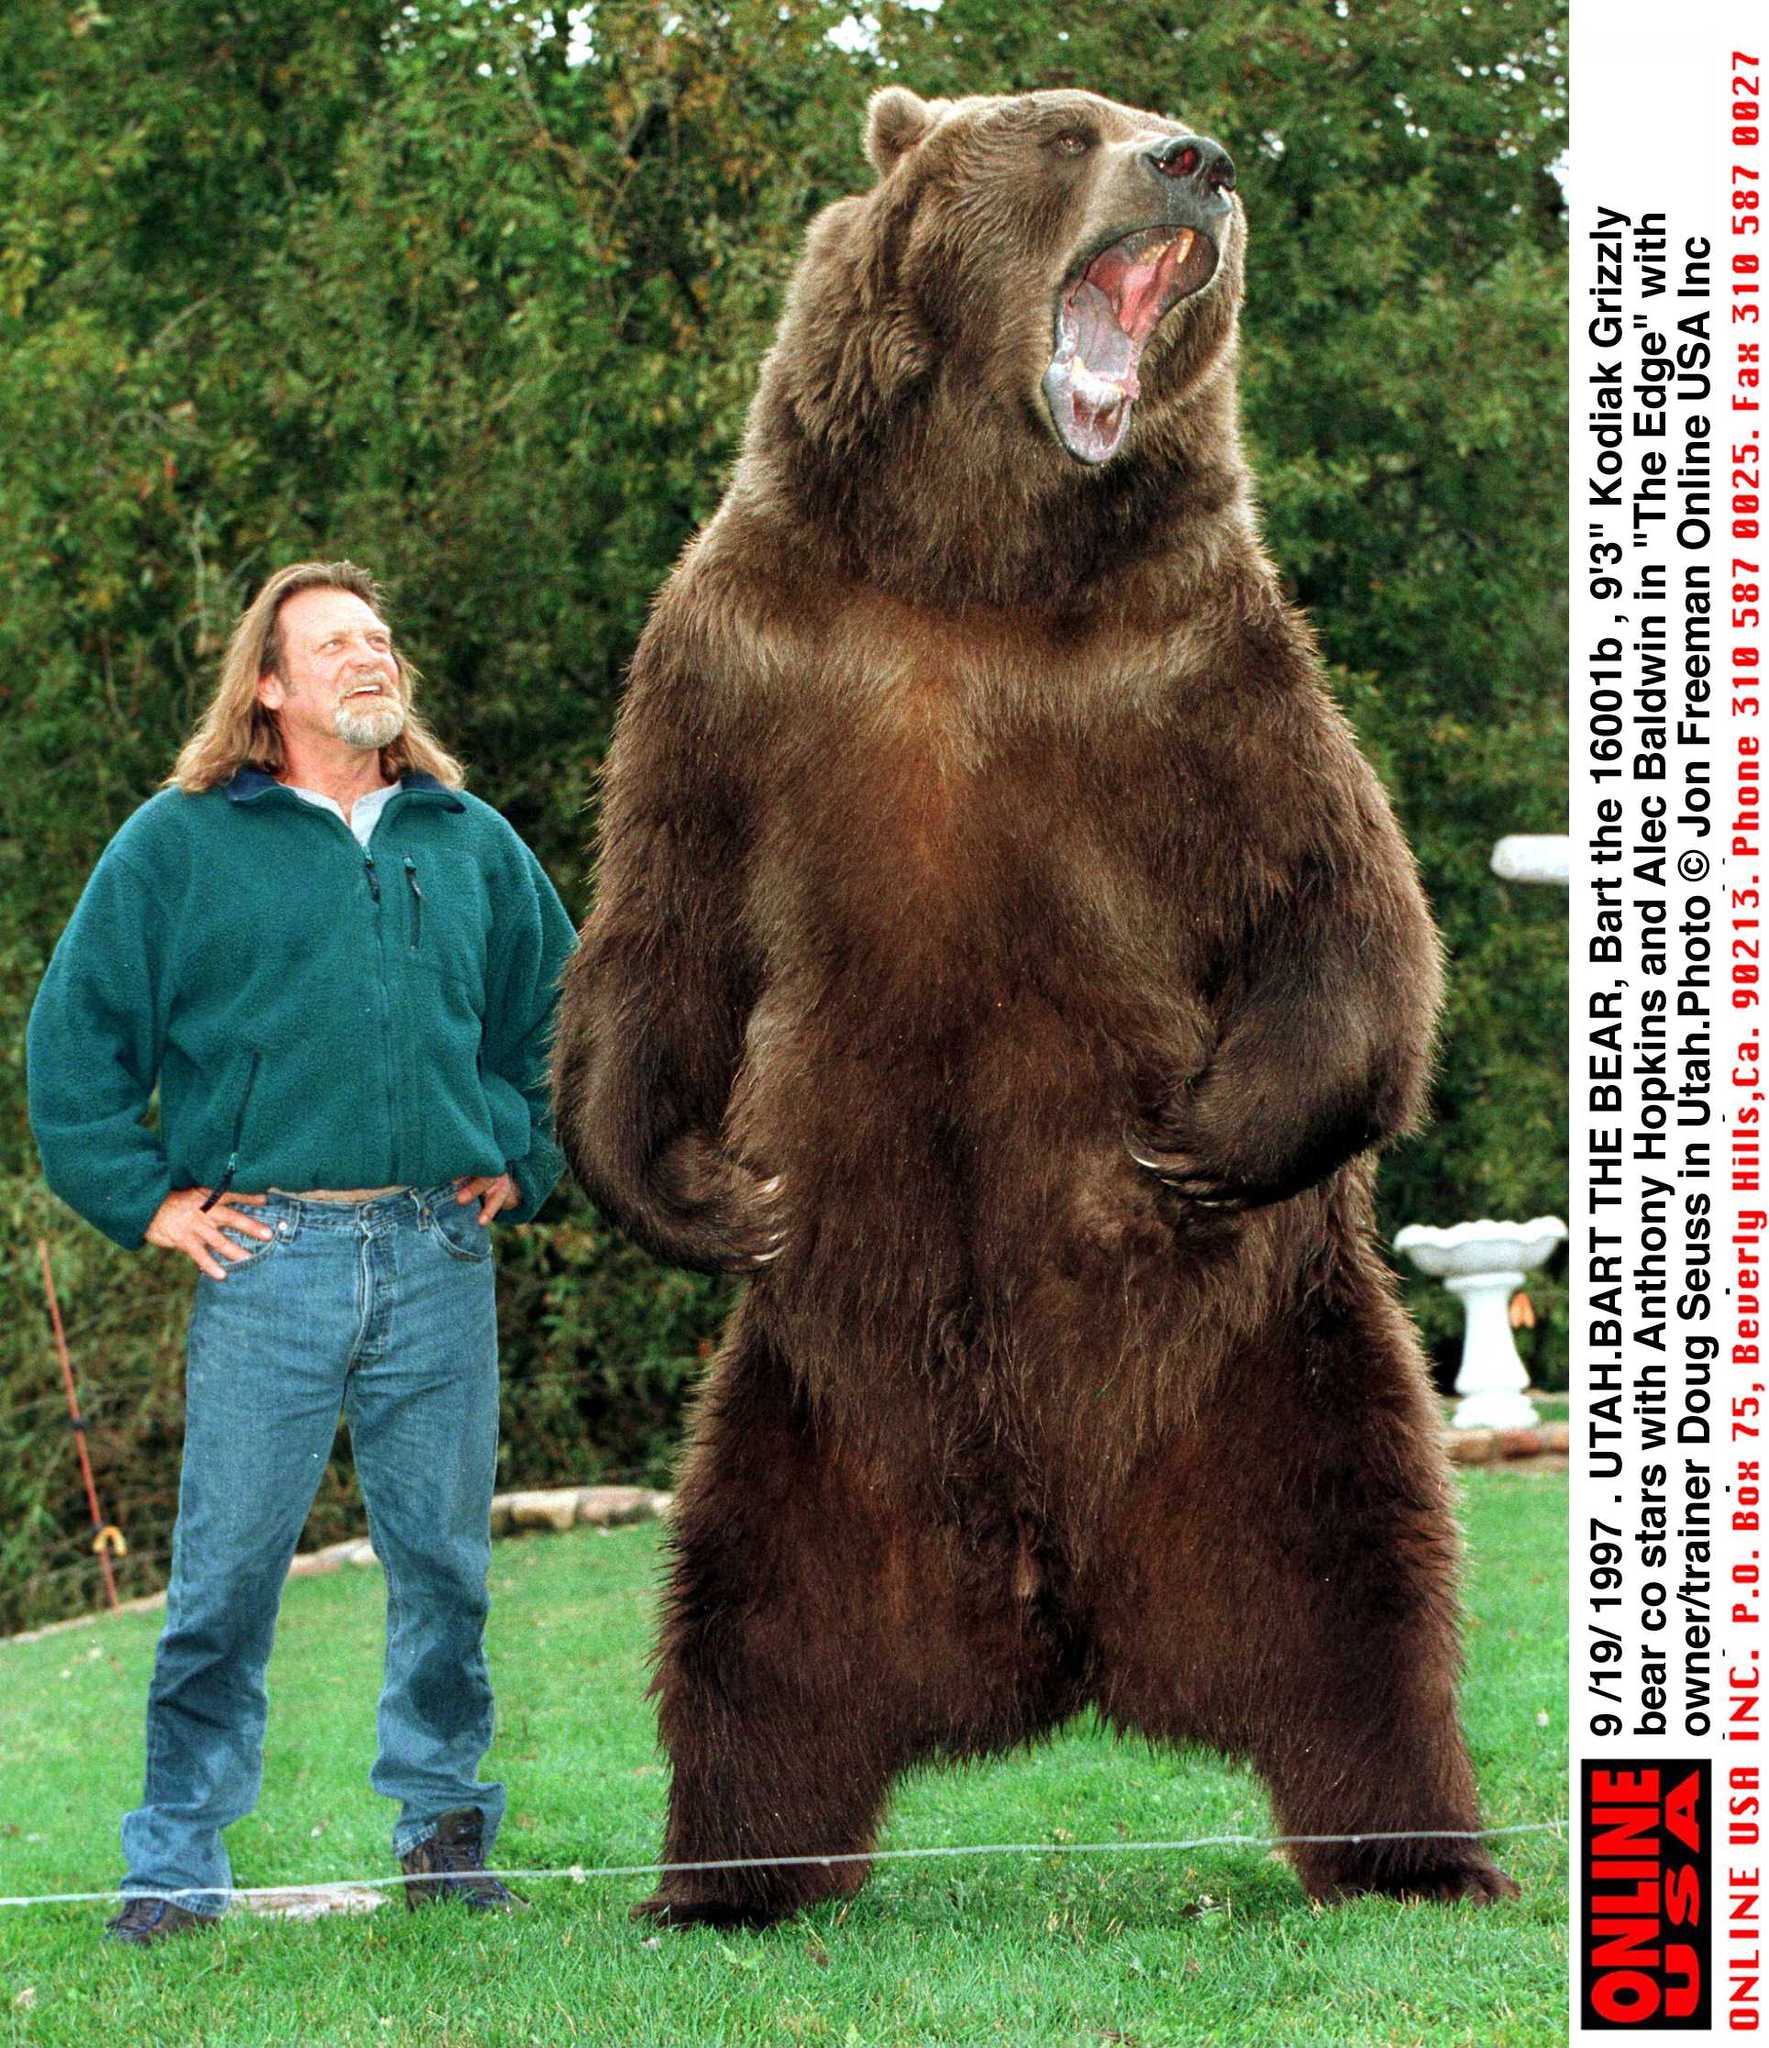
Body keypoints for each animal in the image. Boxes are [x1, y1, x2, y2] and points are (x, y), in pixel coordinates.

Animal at [552, 84, 1517, 1928]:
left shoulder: (1193, 674)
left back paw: (1415, 1852)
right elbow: (664, 927)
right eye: (1069, 128)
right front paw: (687, 1186)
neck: (972, 564)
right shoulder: (740, 660)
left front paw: (1208, 1130)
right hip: (811, 1425)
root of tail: (1061, 1621)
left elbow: (1340, 899)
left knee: (1369, 1602)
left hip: (1277, 1378)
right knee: (743, 1640)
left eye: (1152, 126)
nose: (1199, 161)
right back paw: (725, 1877)